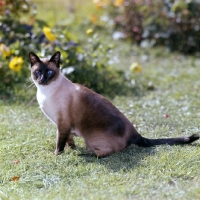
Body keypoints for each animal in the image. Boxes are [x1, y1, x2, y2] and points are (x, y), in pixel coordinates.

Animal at [28, 51, 199, 156]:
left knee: (104, 153)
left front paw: (57, 155)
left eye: (49, 72)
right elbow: (69, 141)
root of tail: (135, 132)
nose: (42, 79)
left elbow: (60, 143)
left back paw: (86, 154)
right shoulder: (64, 125)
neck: (45, 92)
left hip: (91, 138)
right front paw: (72, 149)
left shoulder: (62, 123)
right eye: (37, 72)